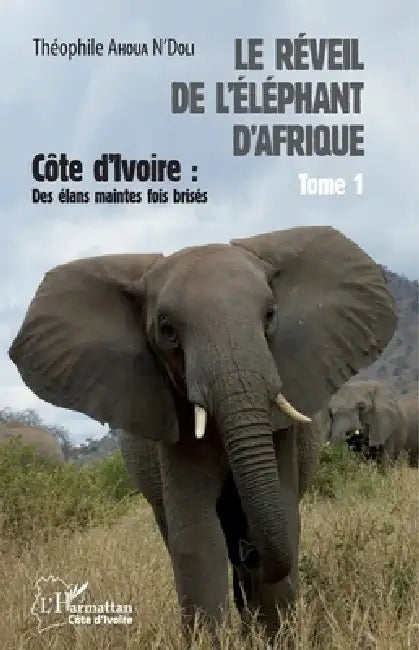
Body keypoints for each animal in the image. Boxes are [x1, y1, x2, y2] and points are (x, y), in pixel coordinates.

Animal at [8, 226, 396, 642]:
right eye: (168, 331)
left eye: (270, 315)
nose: (250, 551)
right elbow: (197, 538)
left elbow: (285, 519)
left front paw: (274, 639)